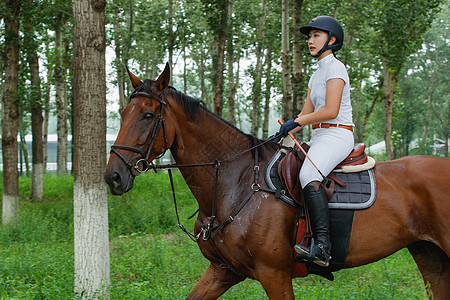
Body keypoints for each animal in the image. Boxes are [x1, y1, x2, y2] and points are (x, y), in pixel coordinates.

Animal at [104, 64, 450, 298]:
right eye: (122, 113)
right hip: (429, 254)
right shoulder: (222, 271)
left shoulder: (274, 274)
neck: (235, 182)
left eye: (148, 115)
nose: (113, 176)